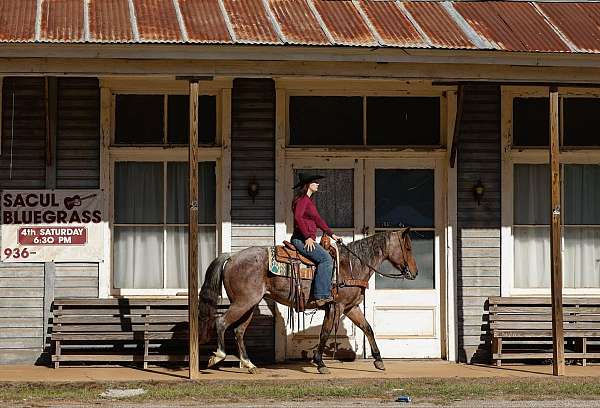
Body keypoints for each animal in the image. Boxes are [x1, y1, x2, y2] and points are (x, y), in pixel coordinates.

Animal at [197, 228, 418, 374]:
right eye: (407, 248)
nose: (415, 273)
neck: (351, 265)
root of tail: (232, 257)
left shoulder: (350, 307)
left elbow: (368, 328)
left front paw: (379, 361)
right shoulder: (336, 307)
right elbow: (325, 333)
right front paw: (320, 363)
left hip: (249, 304)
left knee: (239, 331)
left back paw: (249, 364)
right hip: (243, 302)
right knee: (221, 322)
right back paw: (218, 355)